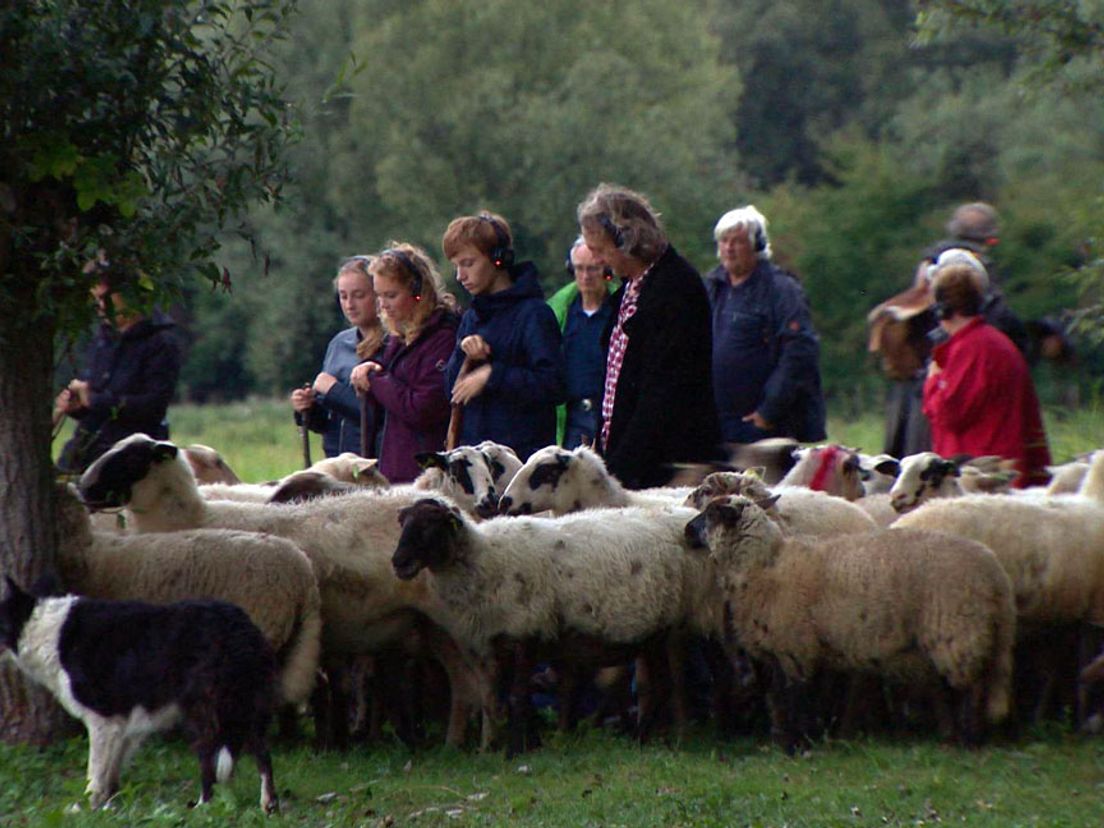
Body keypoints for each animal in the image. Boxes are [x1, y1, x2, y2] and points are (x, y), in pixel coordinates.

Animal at [0, 578, 280, 812]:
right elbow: (111, 774)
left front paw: (87, 806)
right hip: (244, 707)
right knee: (262, 754)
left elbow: (95, 773)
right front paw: (109, 806)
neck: (39, 627)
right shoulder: (123, 726)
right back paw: (266, 805)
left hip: (204, 711)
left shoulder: (103, 718)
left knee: (210, 759)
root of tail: (239, 623)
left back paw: (204, 805)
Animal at [684, 496, 1011, 755]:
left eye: (711, 513)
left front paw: (797, 745)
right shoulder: (781, 649)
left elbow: (796, 696)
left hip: (959, 632)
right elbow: (780, 696)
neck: (765, 566)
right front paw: (791, 739)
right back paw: (954, 737)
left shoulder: (795, 646)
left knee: (972, 689)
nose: (686, 530)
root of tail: (995, 571)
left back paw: (969, 739)